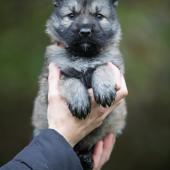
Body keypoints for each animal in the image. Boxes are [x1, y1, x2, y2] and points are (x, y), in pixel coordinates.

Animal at [32, 0, 127, 169]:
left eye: (99, 16)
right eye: (71, 15)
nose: (85, 31)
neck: (83, 55)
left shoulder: (115, 66)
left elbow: (102, 67)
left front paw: (104, 89)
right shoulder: (53, 78)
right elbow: (71, 80)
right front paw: (79, 101)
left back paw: (86, 158)